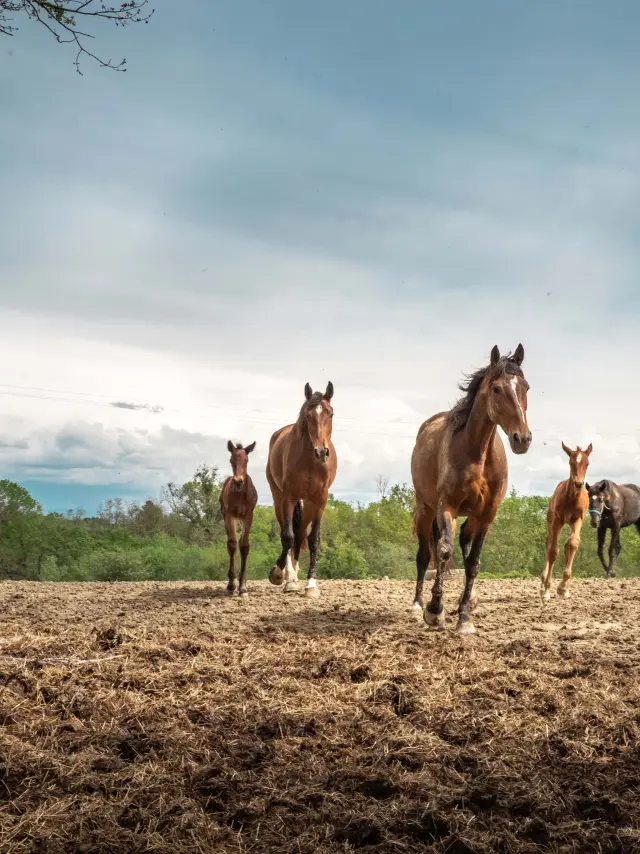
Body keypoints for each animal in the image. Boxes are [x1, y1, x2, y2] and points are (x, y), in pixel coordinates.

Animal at [266, 382, 337, 597]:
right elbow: (287, 536)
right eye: (307, 415)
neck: (310, 461)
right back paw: (289, 577)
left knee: (299, 534)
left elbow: (313, 539)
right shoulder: (289, 497)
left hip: (308, 503)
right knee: (288, 533)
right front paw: (278, 574)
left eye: (331, 413)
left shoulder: (320, 500)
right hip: (278, 499)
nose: (321, 452)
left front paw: (311, 585)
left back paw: (295, 577)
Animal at [411, 344, 532, 634]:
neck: (477, 454)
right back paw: (418, 604)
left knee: (464, 544)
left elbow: (474, 562)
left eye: (526, 387)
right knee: (424, 556)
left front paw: (464, 616)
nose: (522, 439)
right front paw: (435, 610)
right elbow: (444, 551)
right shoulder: (447, 507)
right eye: (497, 388)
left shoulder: (487, 513)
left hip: (472, 515)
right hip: (425, 509)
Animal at [540, 442, 592, 600]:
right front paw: (547, 589)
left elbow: (573, 544)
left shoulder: (578, 519)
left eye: (587, 463)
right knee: (548, 543)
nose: (579, 483)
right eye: (570, 462)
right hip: (551, 521)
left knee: (566, 545)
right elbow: (552, 551)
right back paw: (542, 583)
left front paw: (563, 588)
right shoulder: (557, 520)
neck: (571, 498)